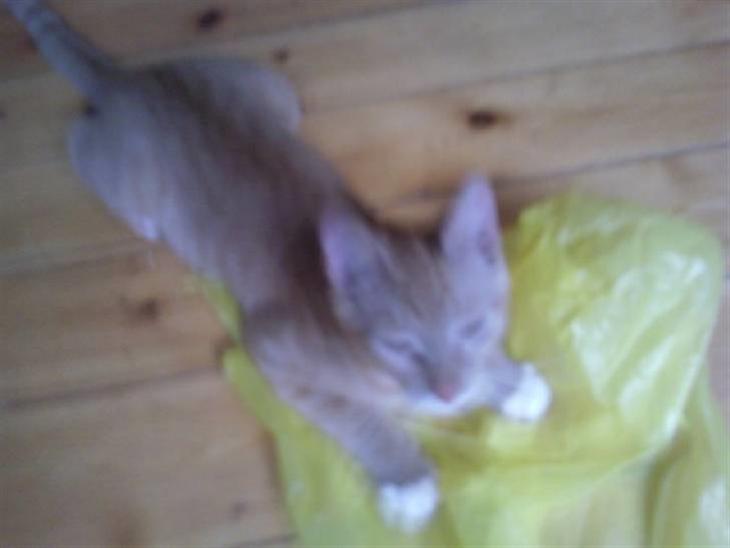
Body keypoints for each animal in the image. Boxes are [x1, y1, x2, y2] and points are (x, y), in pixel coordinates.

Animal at [6, 0, 551, 533]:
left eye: (473, 327)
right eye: (399, 345)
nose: (448, 391)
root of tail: (129, 81)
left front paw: (507, 380)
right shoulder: (273, 351)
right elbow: (357, 417)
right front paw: (407, 478)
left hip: (269, 88)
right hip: (122, 172)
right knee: (80, 140)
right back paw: (136, 210)